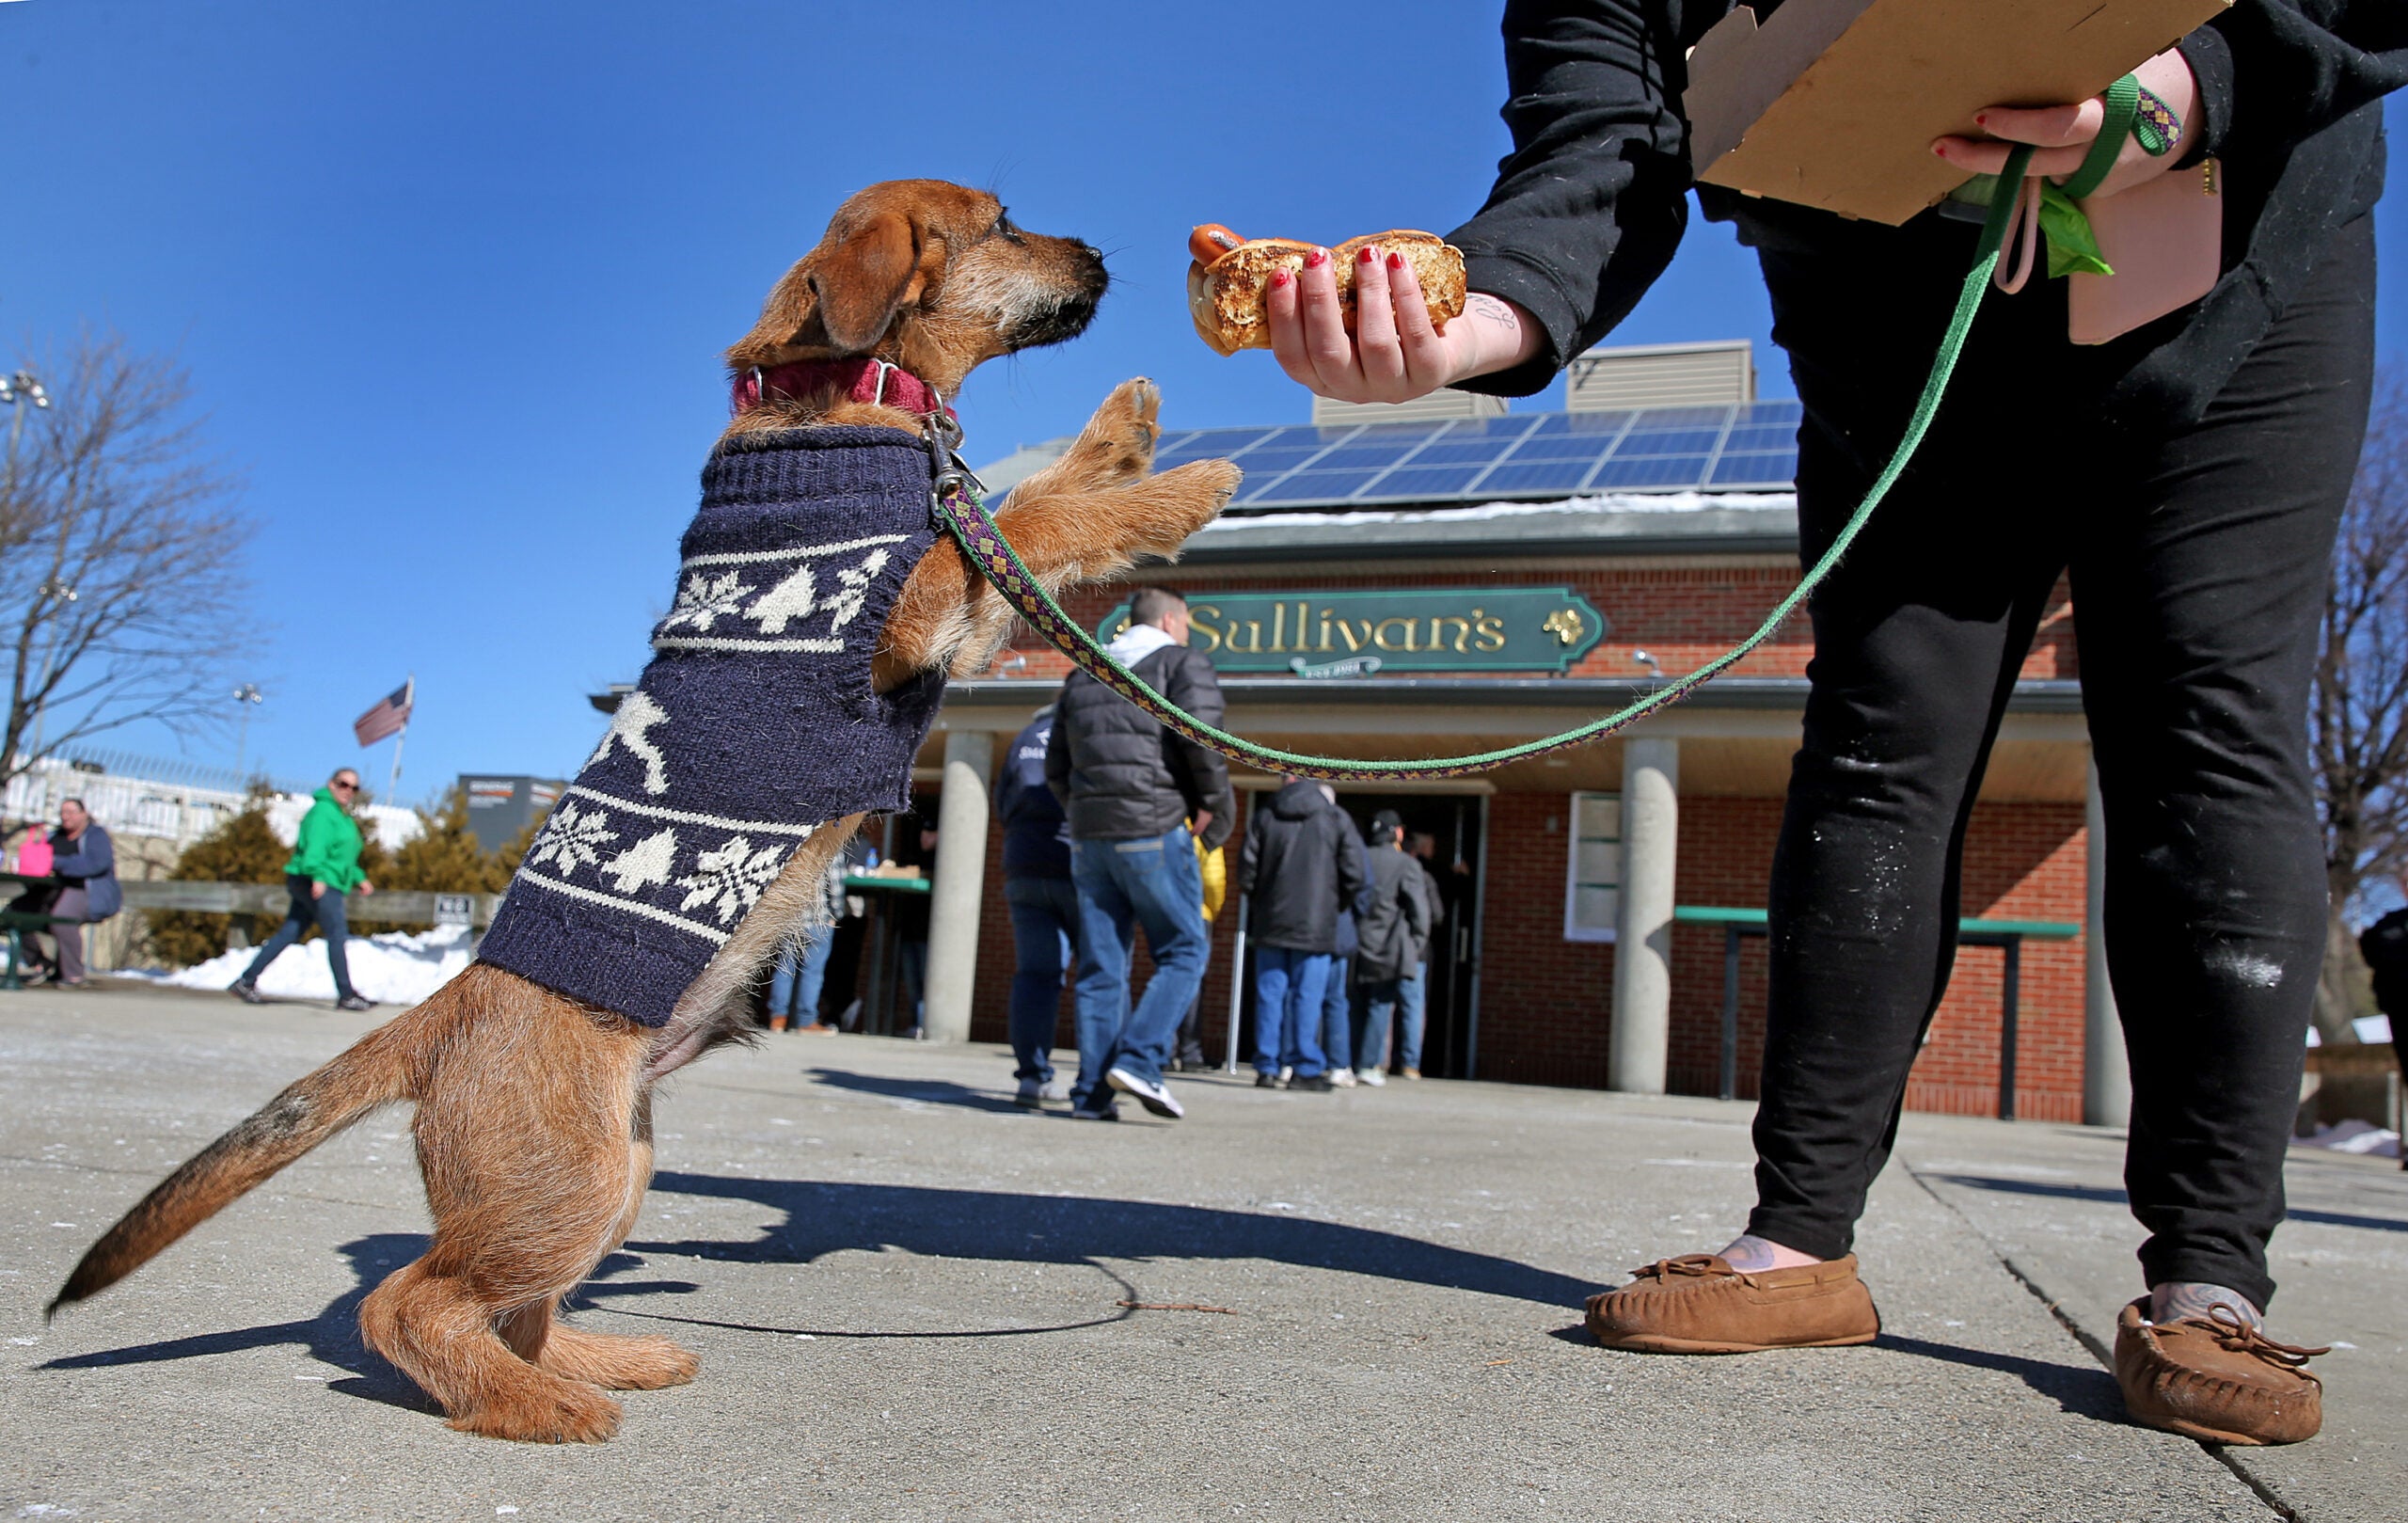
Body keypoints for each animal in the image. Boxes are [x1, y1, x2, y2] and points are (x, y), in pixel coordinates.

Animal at [52, 178, 1242, 1436]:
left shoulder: (949, 604)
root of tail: (447, 1005)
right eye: (1003, 221)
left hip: (615, 1170)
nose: (1103, 253)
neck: (841, 395)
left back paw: (591, 1360)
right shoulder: (917, 614)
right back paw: (539, 1406)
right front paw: (1184, 487)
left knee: (510, 1305)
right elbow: (1030, 515)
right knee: (407, 1303)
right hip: (568, 1181)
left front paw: (1128, 427)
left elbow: (1040, 489)